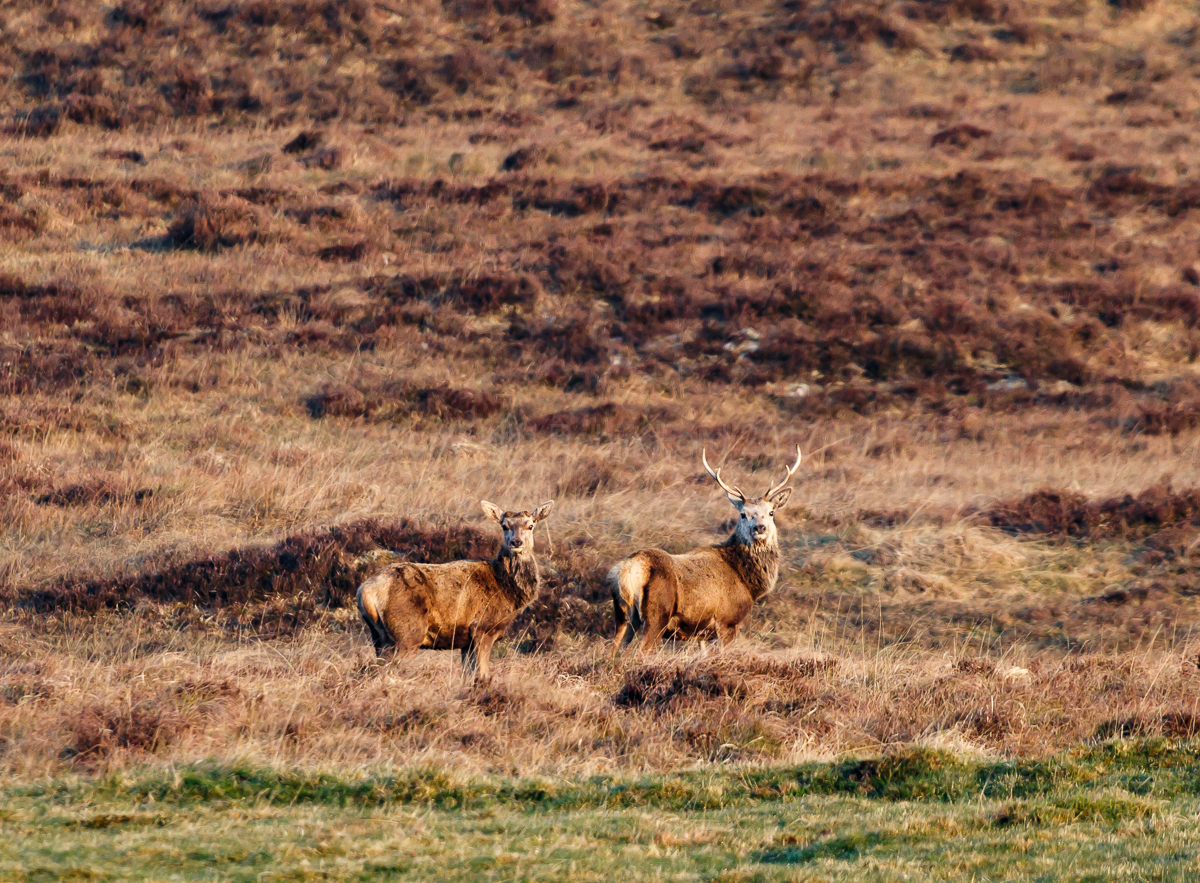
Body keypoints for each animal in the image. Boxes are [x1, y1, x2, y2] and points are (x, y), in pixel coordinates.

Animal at [356, 500, 554, 680]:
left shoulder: (467, 641)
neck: (505, 589)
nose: (516, 542)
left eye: (530, 525)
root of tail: (366, 591)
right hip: (406, 633)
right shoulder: (483, 628)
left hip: (379, 636)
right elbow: (483, 675)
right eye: (504, 526)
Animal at [609, 447, 802, 655]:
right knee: (642, 651)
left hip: (623, 615)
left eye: (771, 512)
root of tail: (628, 570)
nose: (759, 527)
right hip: (657, 614)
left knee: (614, 650)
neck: (748, 582)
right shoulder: (728, 620)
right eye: (743, 514)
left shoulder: (701, 632)